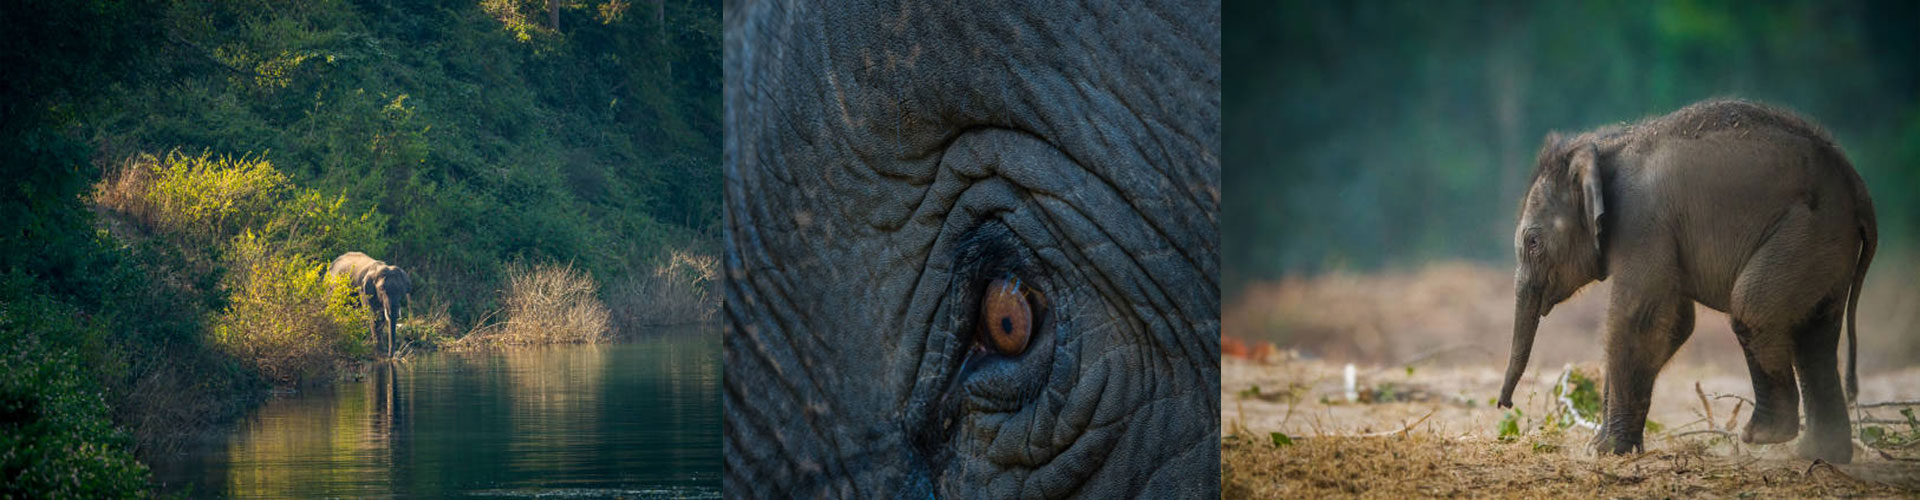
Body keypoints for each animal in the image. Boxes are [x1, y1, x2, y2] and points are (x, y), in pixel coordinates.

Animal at [1497, 99, 1876, 463]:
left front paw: (1608, 450)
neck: (1605, 147)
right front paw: (1601, 447)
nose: (1505, 405)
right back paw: (1819, 454)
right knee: (1815, 334)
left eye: (1533, 242)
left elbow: (1635, 319)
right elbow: (1676, 323)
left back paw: (1763, 435)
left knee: (1753, 312)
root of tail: (1856, 185)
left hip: (1805, 234)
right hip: (1826, 247)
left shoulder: (1643, 224)